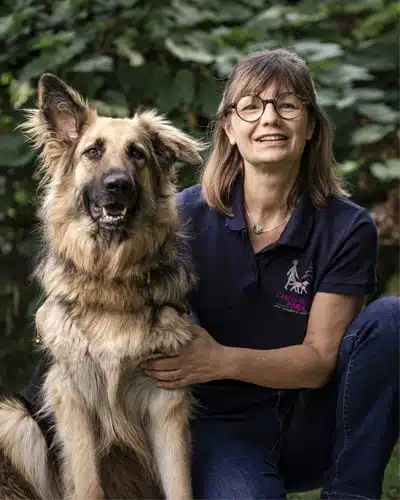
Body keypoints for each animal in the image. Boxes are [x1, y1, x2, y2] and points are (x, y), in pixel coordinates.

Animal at [0, 74, 202, 500]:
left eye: (137, 154)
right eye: (92, 151)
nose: (117, 185)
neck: (112, 280)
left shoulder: (166, 400)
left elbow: (179, 485)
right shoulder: (72, 399)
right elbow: (88, 484)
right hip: (14, 418)